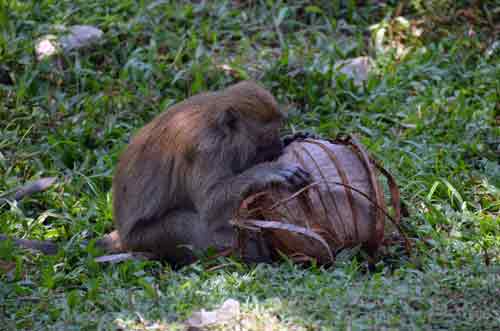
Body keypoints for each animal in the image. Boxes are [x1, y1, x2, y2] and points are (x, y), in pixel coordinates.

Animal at [0, 81, 312, 268]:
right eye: (266, 135)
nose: (276, 145)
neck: (218, 123)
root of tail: (123, 235)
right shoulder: (207, 149)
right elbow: (210, 206)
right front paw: (267, 172)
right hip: (148, 237)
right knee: (187, 224)